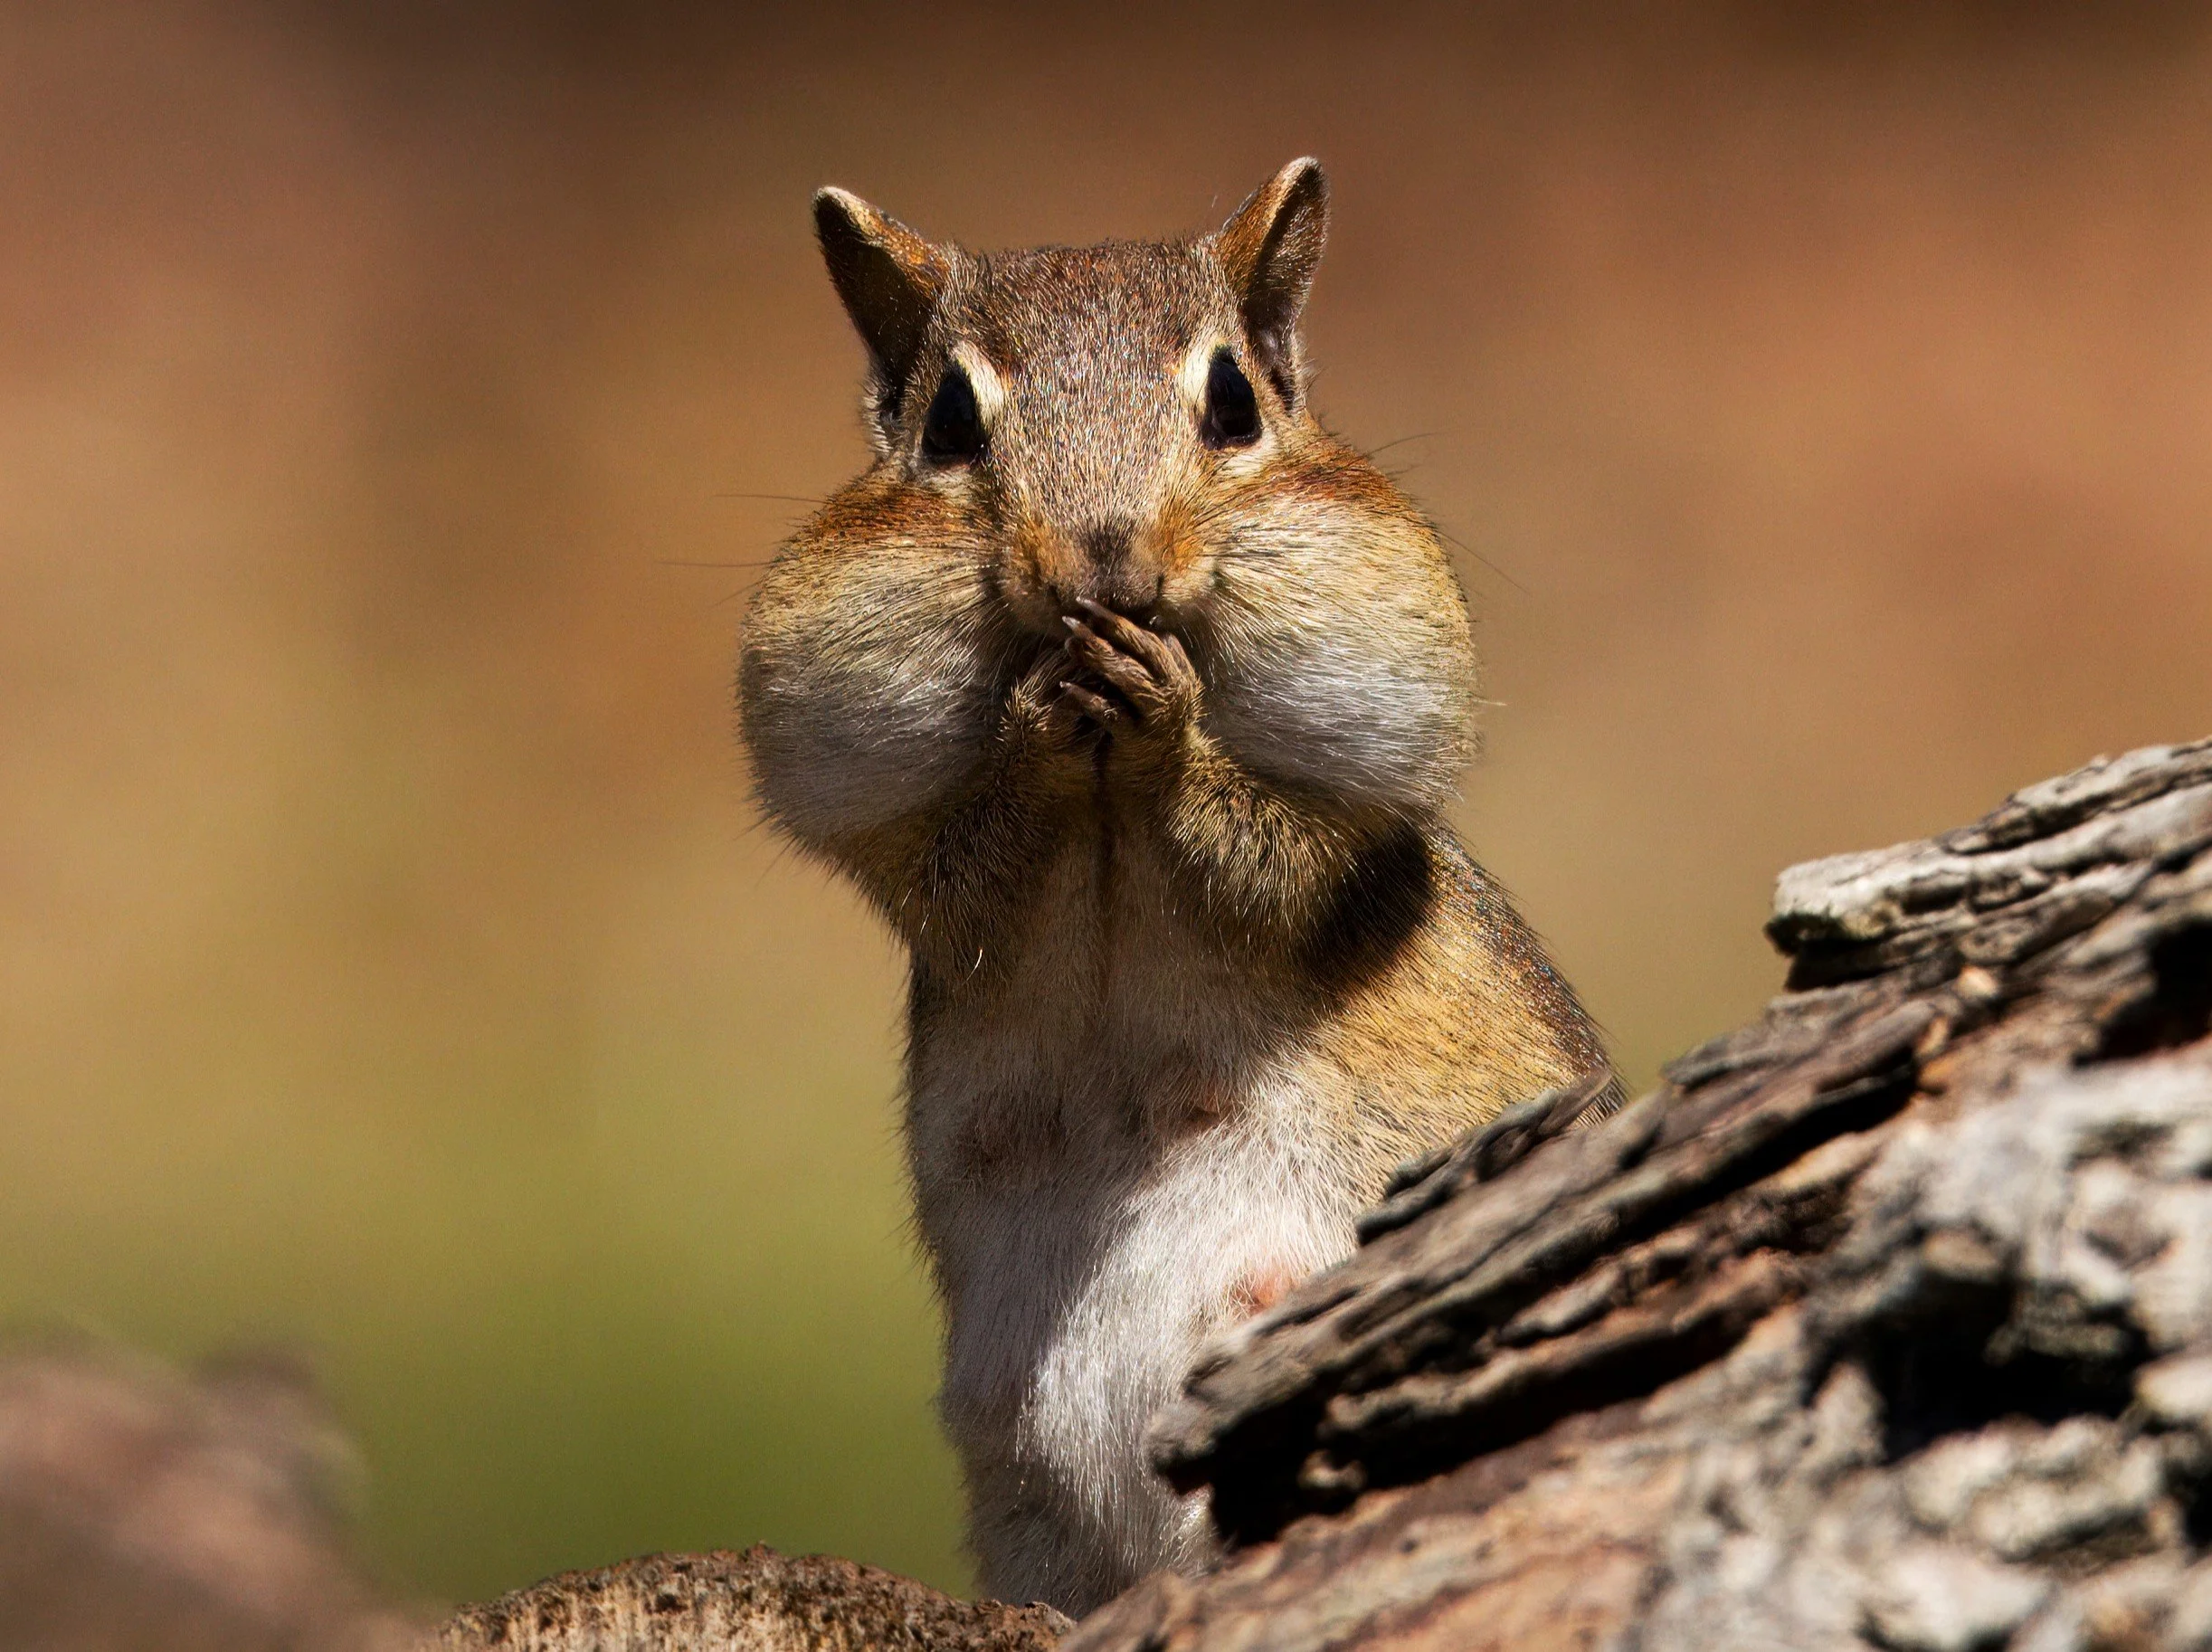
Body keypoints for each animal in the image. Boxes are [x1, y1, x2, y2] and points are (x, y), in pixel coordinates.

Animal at [738, 159, 1614, 1616]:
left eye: (1234, 404)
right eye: (949, 420)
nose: (1101, 561)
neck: (1104, 812)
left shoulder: (1328, 814)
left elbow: (1253, 851)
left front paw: (1163, 713)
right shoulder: (918, 849)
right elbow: (974, 866)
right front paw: (1042, 715)